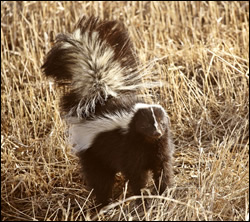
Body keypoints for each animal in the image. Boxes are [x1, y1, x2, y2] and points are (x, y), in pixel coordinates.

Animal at [41, 15, 174, 206]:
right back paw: (103, 202)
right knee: (100, 178)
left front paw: (163, 192)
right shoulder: (130, 148)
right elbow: (137, 174)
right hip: (93, 151)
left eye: (162, 123)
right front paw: (142, 197)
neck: (147, 142)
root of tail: (100, 99)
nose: (156, 132)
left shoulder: (160, 147)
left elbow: (162, 168)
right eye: (145, 125)